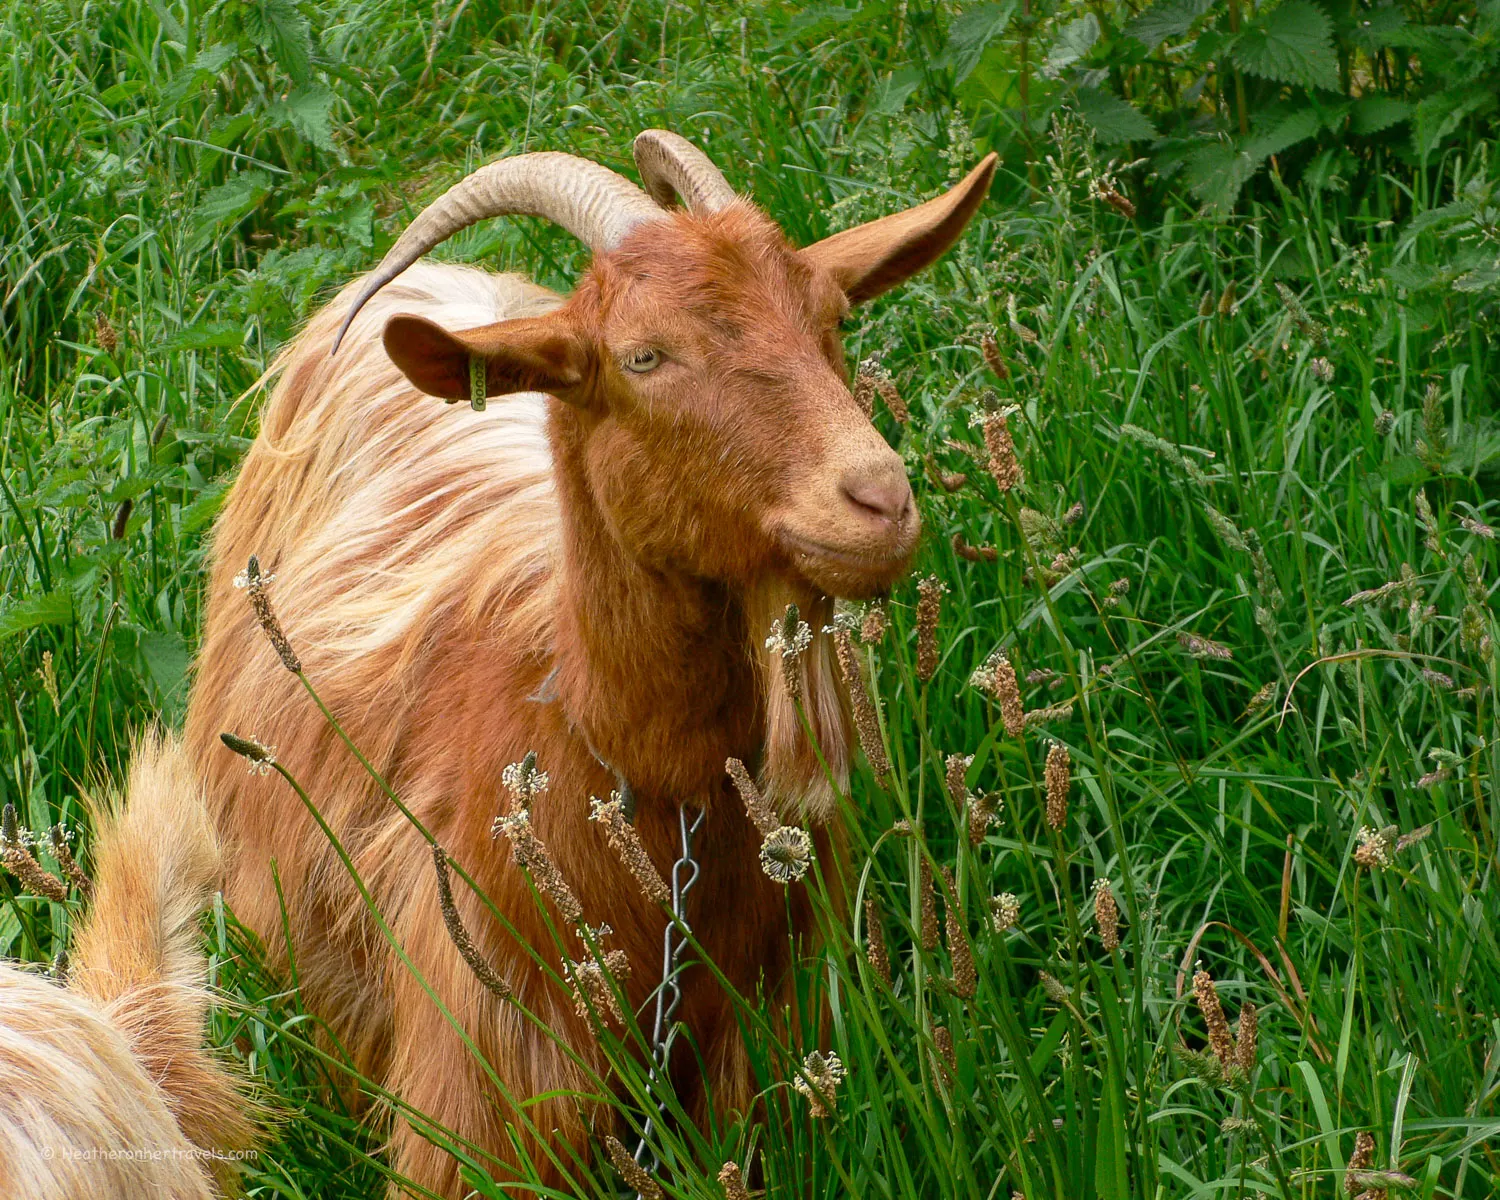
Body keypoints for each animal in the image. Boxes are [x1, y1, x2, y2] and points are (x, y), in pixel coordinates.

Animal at [181, 130, 995, 1195]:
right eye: (643, 356)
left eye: (831, 318)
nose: (877, 499)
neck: (658, 786)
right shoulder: (486, 1074)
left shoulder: (767, 1047)